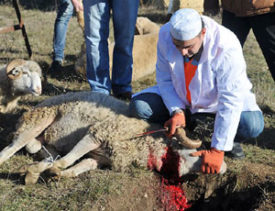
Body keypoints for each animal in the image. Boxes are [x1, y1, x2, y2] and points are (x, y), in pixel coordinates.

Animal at [0, 91, 226, 184]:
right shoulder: (96, 133)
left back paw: (39, 164)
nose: (222, 168)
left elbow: (76, 168)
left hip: (45, 138)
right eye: (195, 152)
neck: (140, 142)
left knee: (43, 151)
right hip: (38, 120)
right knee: (10, 149)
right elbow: (68, 160)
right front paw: (41, 172)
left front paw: (55, 174)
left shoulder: (98, 159)